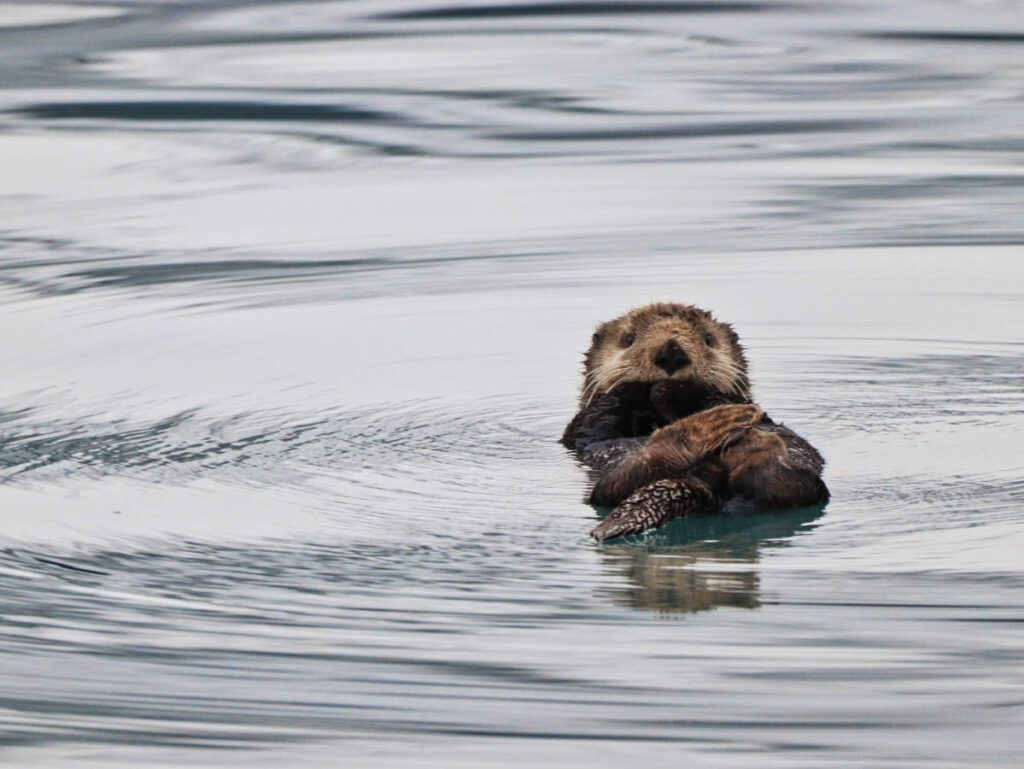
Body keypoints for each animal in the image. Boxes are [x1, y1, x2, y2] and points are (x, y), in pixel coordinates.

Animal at [562, 302, 829, 541]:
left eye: (709, 338)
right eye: (628, 338)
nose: (671, 352)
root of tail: (705, 485)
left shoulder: (729, 398)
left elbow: (717, 397)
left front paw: (670, 390)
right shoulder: (585, 427)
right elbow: (601, 414)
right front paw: (643, 389)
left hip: (805, 486)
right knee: (611, 486)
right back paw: (712, 429)